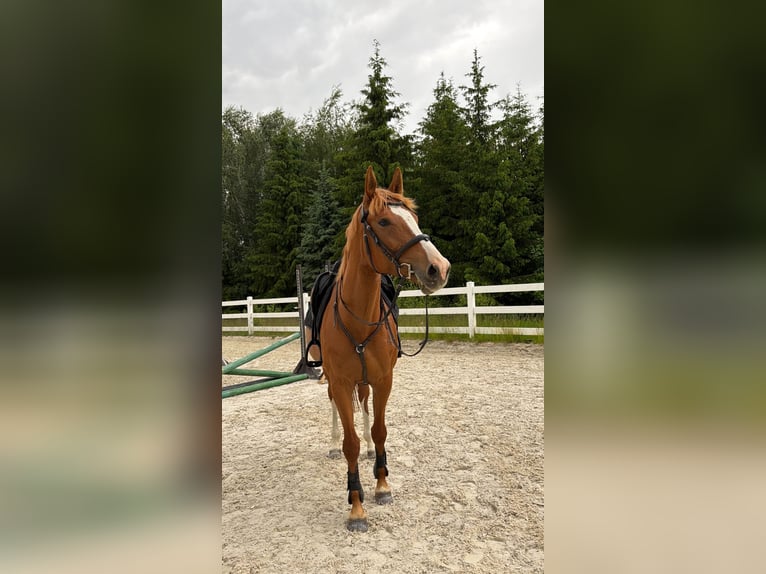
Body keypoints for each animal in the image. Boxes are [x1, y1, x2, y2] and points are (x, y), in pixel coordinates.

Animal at [312, 165, 450, 532]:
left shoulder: (384, 380)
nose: (439, 268)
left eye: (414, 217)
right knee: (337, 409)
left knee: (364, 406)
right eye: (385, 221)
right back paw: (332, 445)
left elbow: (379, 430)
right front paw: (356, 505)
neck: (359, 318)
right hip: (332, 379)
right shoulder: (341, 382)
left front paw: (382, 484)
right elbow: (350, 443)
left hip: (366, 381)